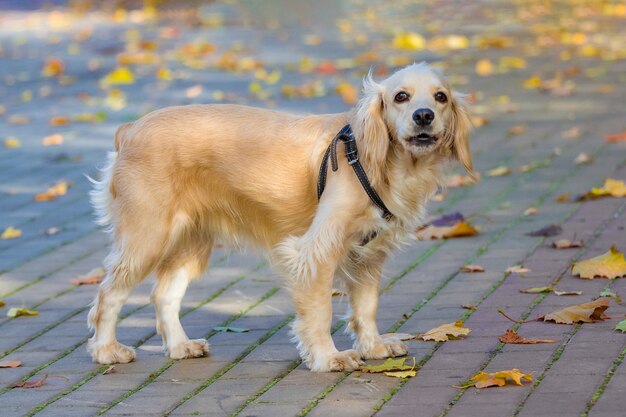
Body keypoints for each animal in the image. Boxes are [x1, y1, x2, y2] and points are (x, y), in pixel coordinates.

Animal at [86, 62, 472, 370]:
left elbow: (366, 308)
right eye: (401, 97)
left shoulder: (367, 256)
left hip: (190, 246)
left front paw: (373, 347)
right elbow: (320, 313)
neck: (374, 160)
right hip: (147, 239)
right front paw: (328, 358)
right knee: (108, 295)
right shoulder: (314, 251)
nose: (424, 115)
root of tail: (129, 130)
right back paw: (107, 350)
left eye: (440, 97)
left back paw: (180, 346)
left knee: (164, 296)